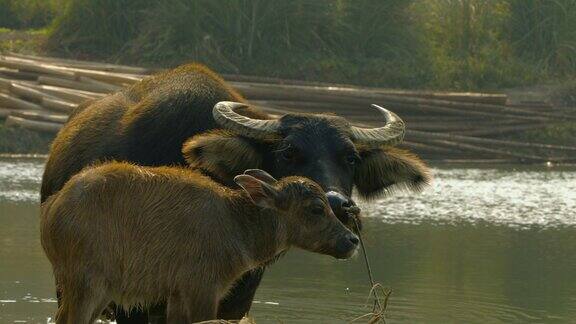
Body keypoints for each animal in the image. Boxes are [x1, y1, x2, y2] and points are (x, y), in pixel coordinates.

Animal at [40, 63, 430, 322]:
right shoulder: (148, 298)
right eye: (288, 152)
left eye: (350, 157)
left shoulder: (232, 298)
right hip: (78, 285)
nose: (342, 207)